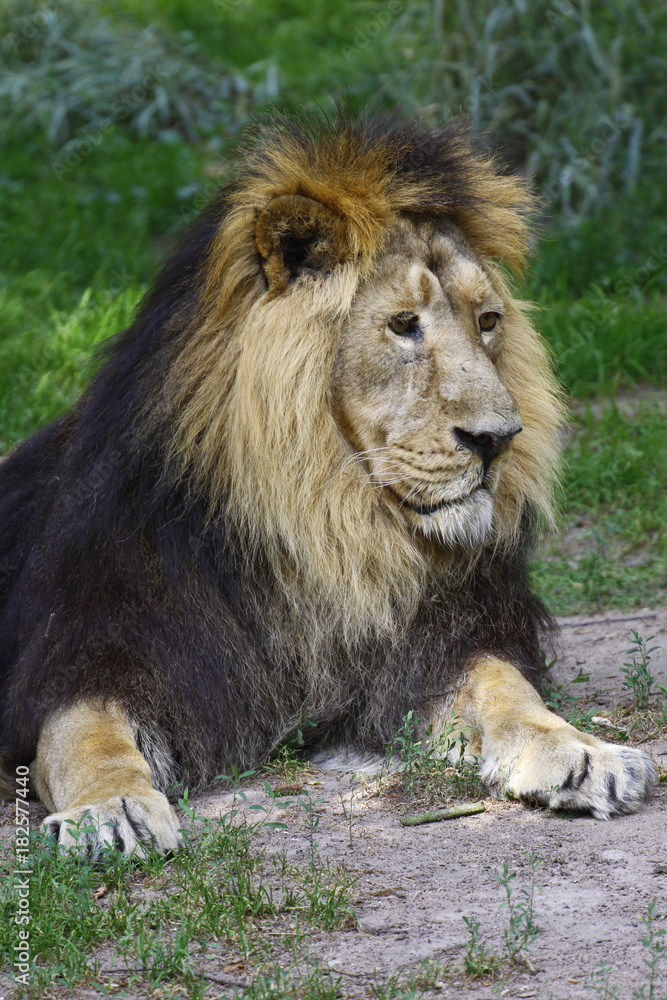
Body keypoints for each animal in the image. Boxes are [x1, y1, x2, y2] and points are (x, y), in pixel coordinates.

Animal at [0, 115, 656, 852]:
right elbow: (83, 736)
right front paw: (109, 809)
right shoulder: (90, 651)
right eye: (403, 325)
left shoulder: (438, 647)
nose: (498, 438)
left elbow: (508, 689)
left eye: (487, 322)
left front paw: (579, 751)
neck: (322, 528)